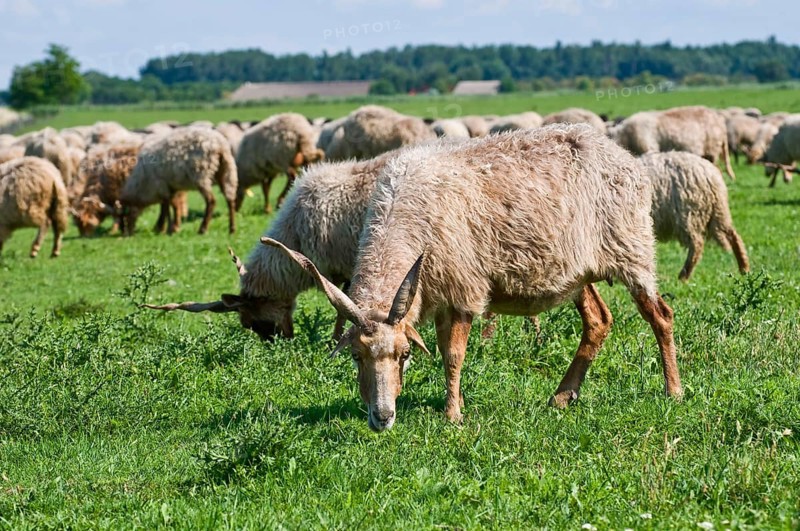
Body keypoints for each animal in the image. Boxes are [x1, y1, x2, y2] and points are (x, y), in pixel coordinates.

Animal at [263, 124, 683, 431]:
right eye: (356, 356)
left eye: (404, 355)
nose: (382, 418)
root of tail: (621, 153)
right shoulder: (434, 292)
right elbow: (442, 348)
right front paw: (456, 401)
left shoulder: (462, 288)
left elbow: (453, 355)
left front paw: (452, 415)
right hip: (578, 271)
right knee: (598, 321)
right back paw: (563, 396)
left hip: (633, 248)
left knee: (660, 316)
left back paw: (673, 390)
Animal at [640, 152, 749, 280]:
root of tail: (711, 174)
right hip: (718, 211)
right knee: (733, 235)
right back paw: (744, 268)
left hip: (690, 214)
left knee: (697, 244)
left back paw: (683, 276)